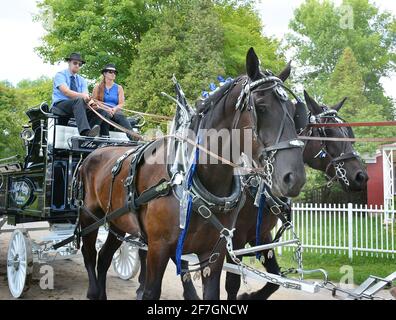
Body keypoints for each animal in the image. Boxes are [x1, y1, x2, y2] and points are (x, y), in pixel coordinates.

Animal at [78, 48, 306, 300]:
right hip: (90, 217)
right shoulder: (160, 247)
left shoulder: (217, 251)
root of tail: (95, 151)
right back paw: (93, 291)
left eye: (295, 113)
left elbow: (259, 281)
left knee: (104, 257)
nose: (294, 178)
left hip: (117, 222)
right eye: (261, 106)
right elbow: (153, 291)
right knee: (90, 254)